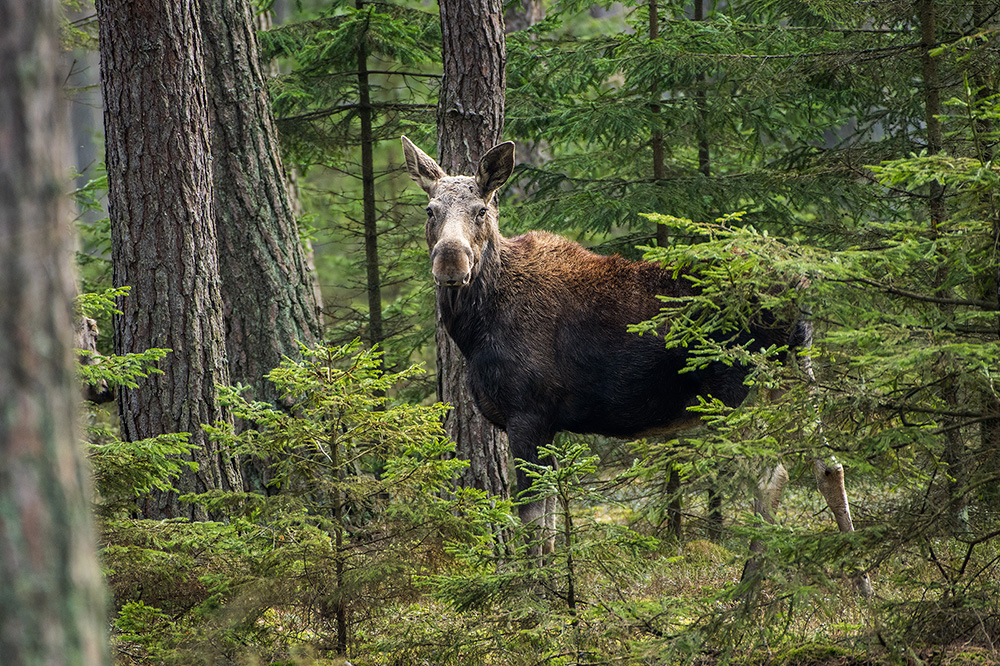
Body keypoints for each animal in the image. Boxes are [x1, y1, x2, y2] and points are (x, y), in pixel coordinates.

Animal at [402, 136, 872, 592]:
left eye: (482, 209)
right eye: (430, 210)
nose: (451, 261)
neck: (476, 327)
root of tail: (800, 287)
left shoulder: (526, 414)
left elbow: (533, 522)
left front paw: (533, 600)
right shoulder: (548, 424)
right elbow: (551, 524)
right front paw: (556, 595)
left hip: (738, 392)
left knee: (772, 475)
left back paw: (745, 593)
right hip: (795, 374)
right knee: (828, 466)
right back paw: (861, 582)